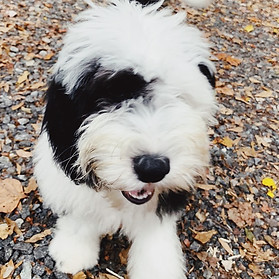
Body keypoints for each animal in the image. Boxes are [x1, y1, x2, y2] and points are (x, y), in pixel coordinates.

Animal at [33, 0, 217, 278]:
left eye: (177, 96)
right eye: (107, 98)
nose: (153, 168)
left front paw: (156, 267)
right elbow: (81, 213)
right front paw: (74, 250)